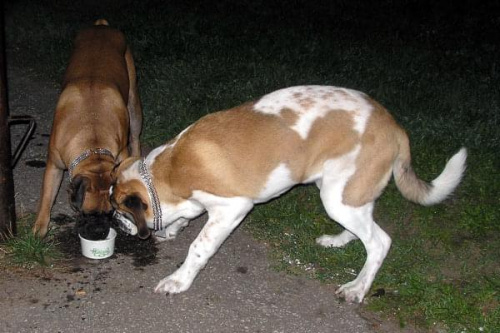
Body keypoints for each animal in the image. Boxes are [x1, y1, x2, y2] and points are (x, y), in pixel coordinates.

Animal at [32, 19, 143, 236]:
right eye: (86, 213)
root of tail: (101, 26)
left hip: (134, 105)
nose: (100, 232)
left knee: (135, 138)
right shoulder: (54, 166)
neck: (93, 140)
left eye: (110, 213)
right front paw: (39, 229)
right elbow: (46, 197)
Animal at [111, 85, 466, 300]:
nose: (114, 223)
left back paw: (357, 288)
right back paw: (338, 240)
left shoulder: (233, 208)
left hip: (337, 197)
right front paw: (172, 229)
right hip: (340, 191)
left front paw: (179, 280)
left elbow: (199, 247)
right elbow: (185, 219)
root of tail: (394, 125)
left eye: (120, 209)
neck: (168, 170)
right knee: (364, 226)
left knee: (380, 241)